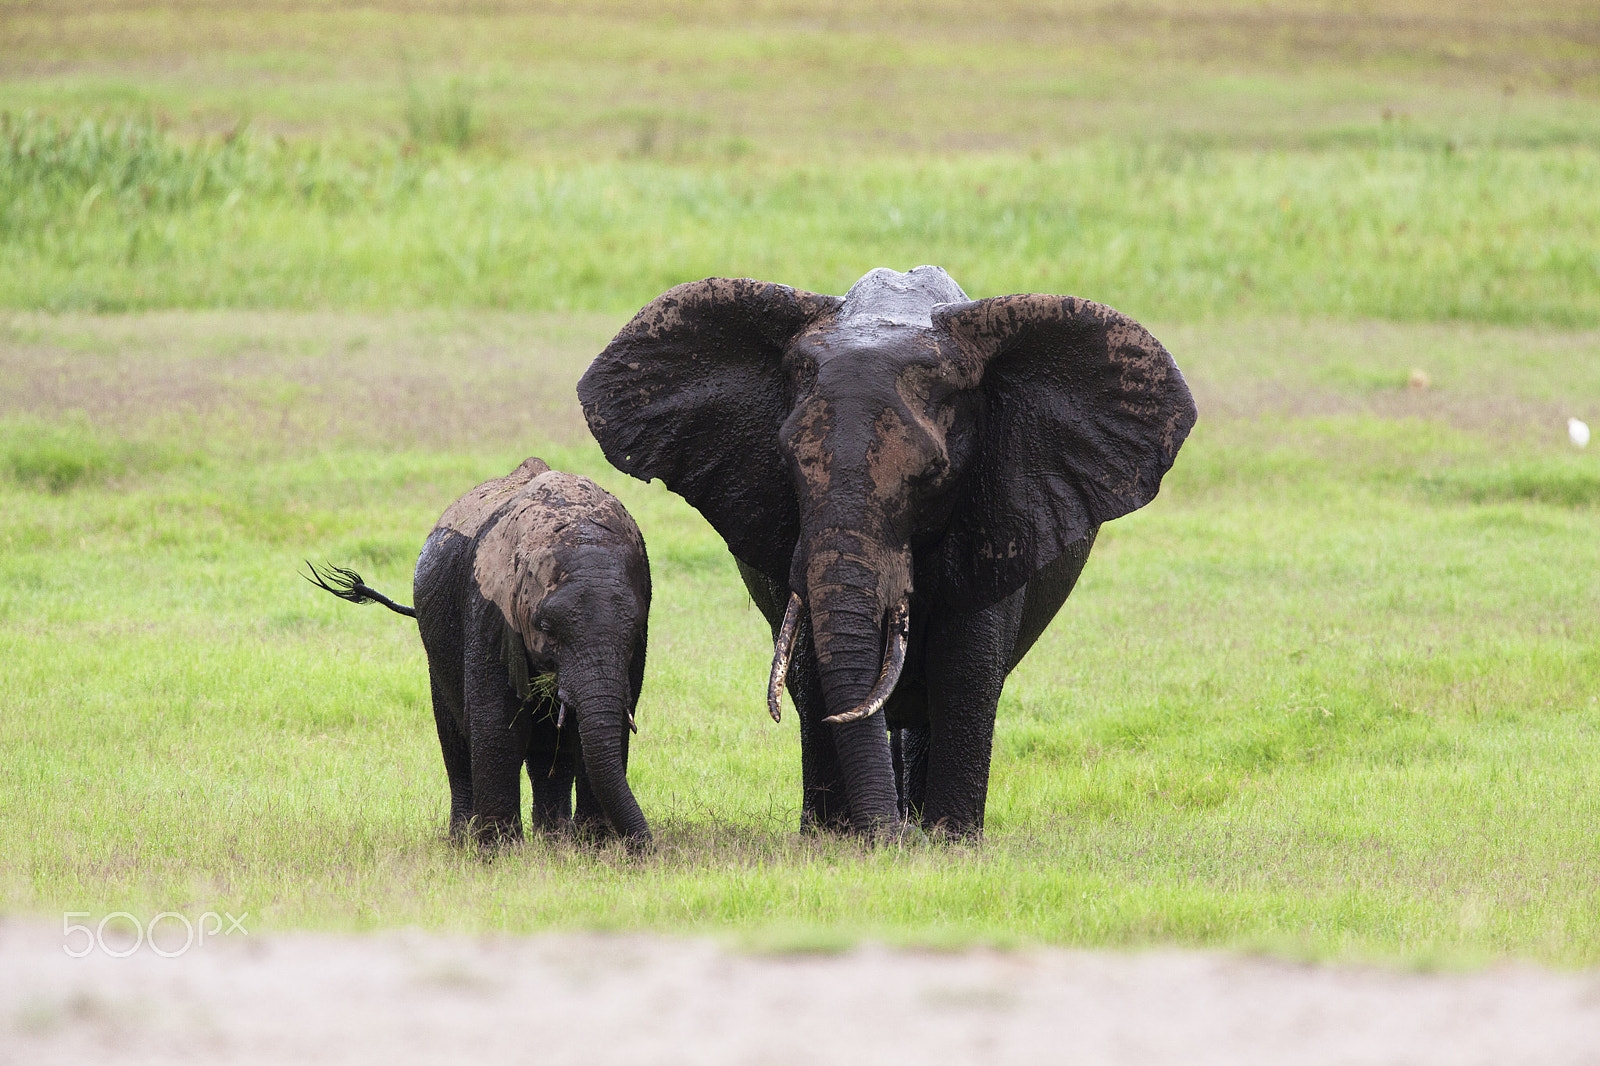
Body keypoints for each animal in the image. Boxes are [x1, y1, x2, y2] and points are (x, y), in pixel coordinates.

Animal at [307, 456, 652, 848]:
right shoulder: (489, 607)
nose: (646, 848)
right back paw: (463, 839)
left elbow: (604, 720)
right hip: (437, 644)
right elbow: (497, 720)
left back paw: (554, 838)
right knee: (455, 736)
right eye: (545, 627)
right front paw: (499, 850)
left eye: (632, 630)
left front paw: (598, 847)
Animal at [578, 266, 1195, 838]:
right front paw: (833, 838)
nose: (891, 836)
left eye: (933, 474)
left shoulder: (1000, 510)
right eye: (786, 462)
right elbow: (811, 669)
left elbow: (966, 669)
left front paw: (951, 842)